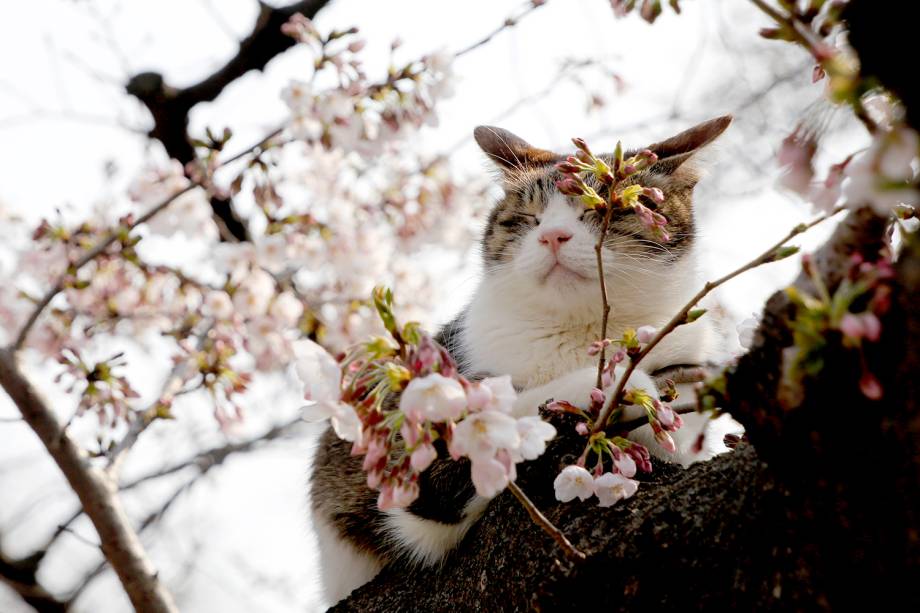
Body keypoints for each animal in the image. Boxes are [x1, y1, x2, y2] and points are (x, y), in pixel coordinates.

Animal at [310, 116, 740, 608]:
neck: (583, 333)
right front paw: (626, 389)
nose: (553, 235)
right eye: (528, 218)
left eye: (605, 210)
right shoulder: (421, 475)